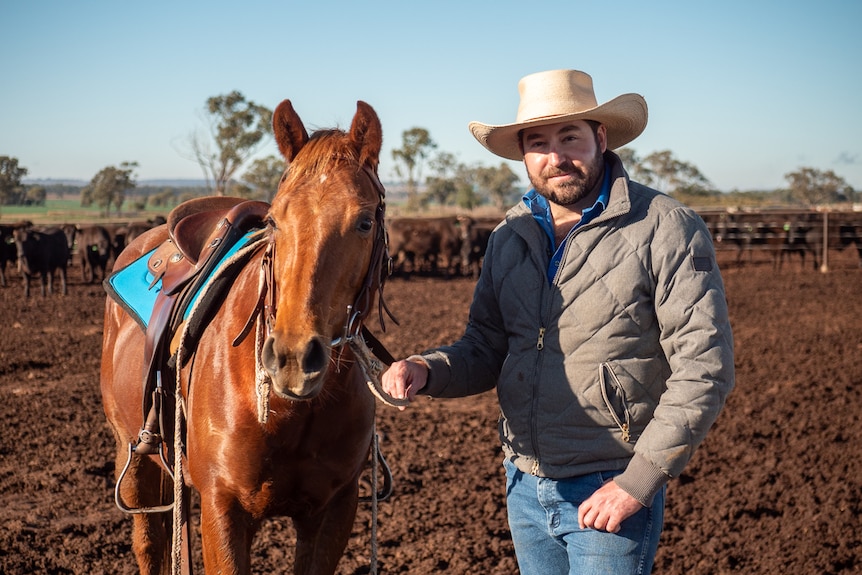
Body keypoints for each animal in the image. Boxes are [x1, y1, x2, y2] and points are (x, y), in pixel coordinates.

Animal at [99, 100, 404, 575]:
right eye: (275, 220)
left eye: (365, 221)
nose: (293, 358)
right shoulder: (224, 509)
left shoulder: (333, 510)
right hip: (134, 460)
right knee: (149, 545)